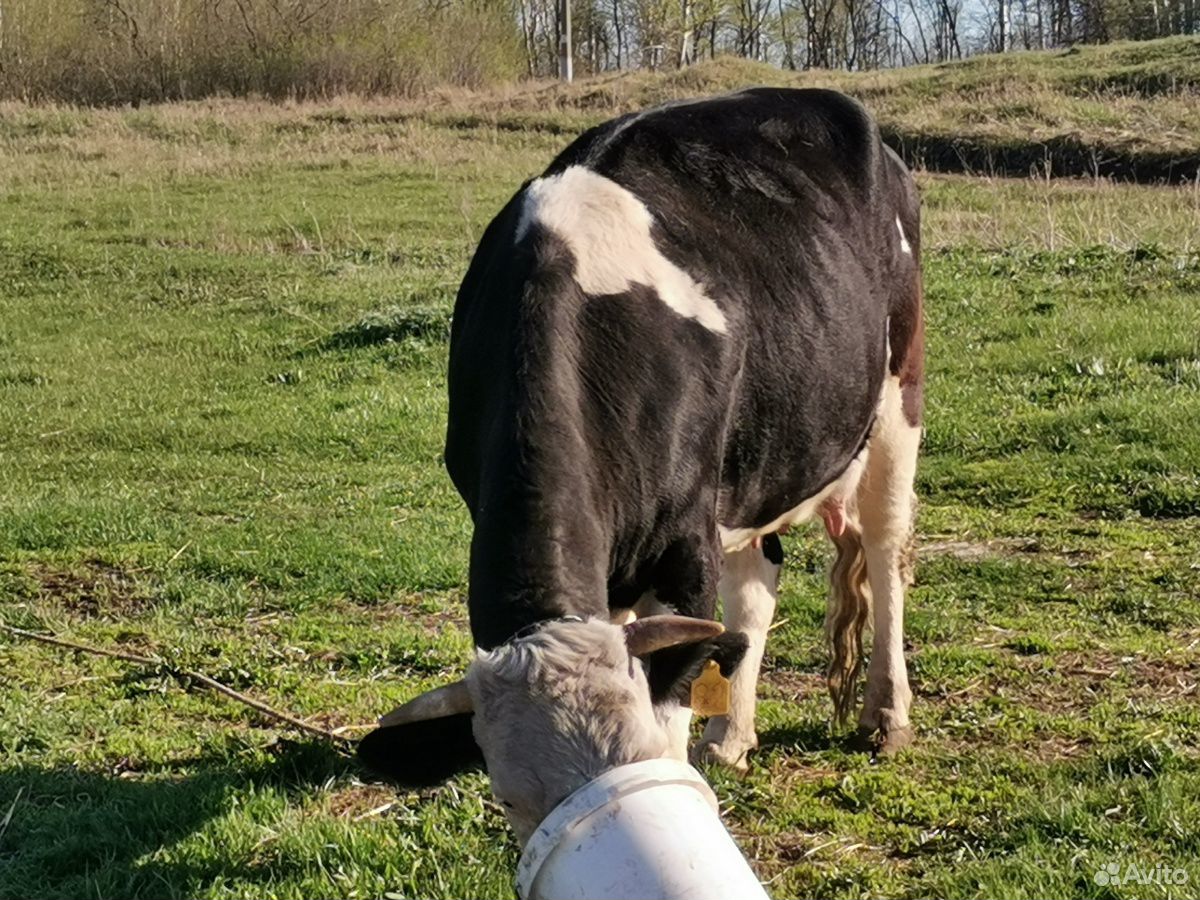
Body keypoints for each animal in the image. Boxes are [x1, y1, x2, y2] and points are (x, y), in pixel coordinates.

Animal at [360, 88, 921, 849]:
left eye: (644, 760)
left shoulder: (684, 542)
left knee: (886, 549)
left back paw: (886, 715)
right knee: (756, 587)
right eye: (507, 797)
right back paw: (731, 735)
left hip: (896, 397)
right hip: (753, 461)